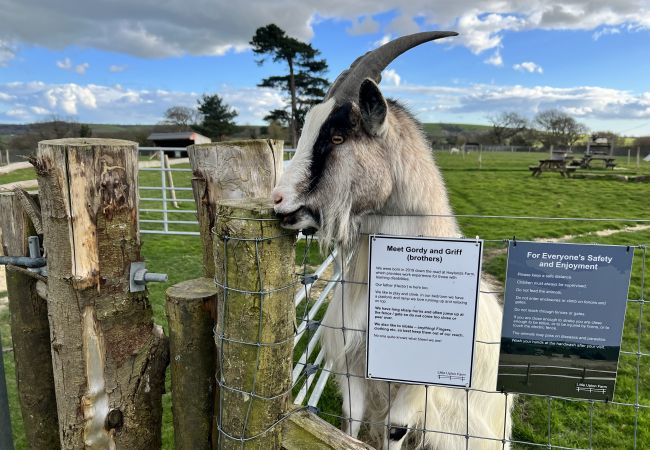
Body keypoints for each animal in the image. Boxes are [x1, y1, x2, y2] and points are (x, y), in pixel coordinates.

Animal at [270, 32, 508, 450]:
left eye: (337, 136)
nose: (278, 201)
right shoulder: (354, 368)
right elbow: (349, 422)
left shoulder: (419, 387)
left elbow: (395, 429)